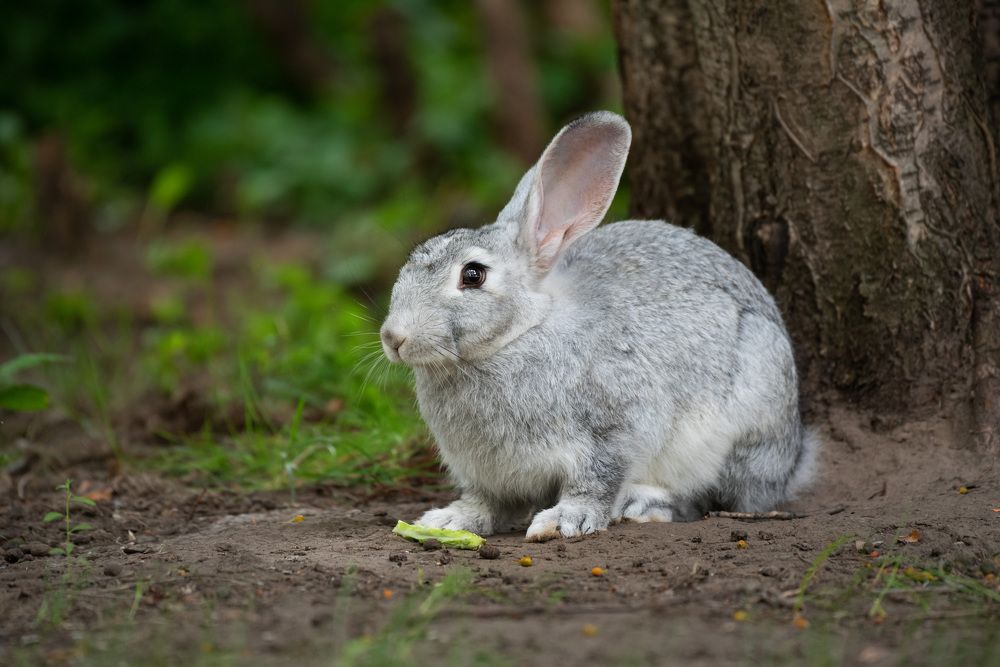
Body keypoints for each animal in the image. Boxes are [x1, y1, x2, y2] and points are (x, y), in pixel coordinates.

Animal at [380, 111, 817, 541]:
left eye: (473, 275)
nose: (393, 337)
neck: (518, 336)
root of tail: (793, 458)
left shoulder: (615, 432)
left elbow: (595, 482)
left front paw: (563, 521)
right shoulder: (487, 474)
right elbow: (487, 502)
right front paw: (448, 520)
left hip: (742, 422)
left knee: (713, 498)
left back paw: (644, 506)